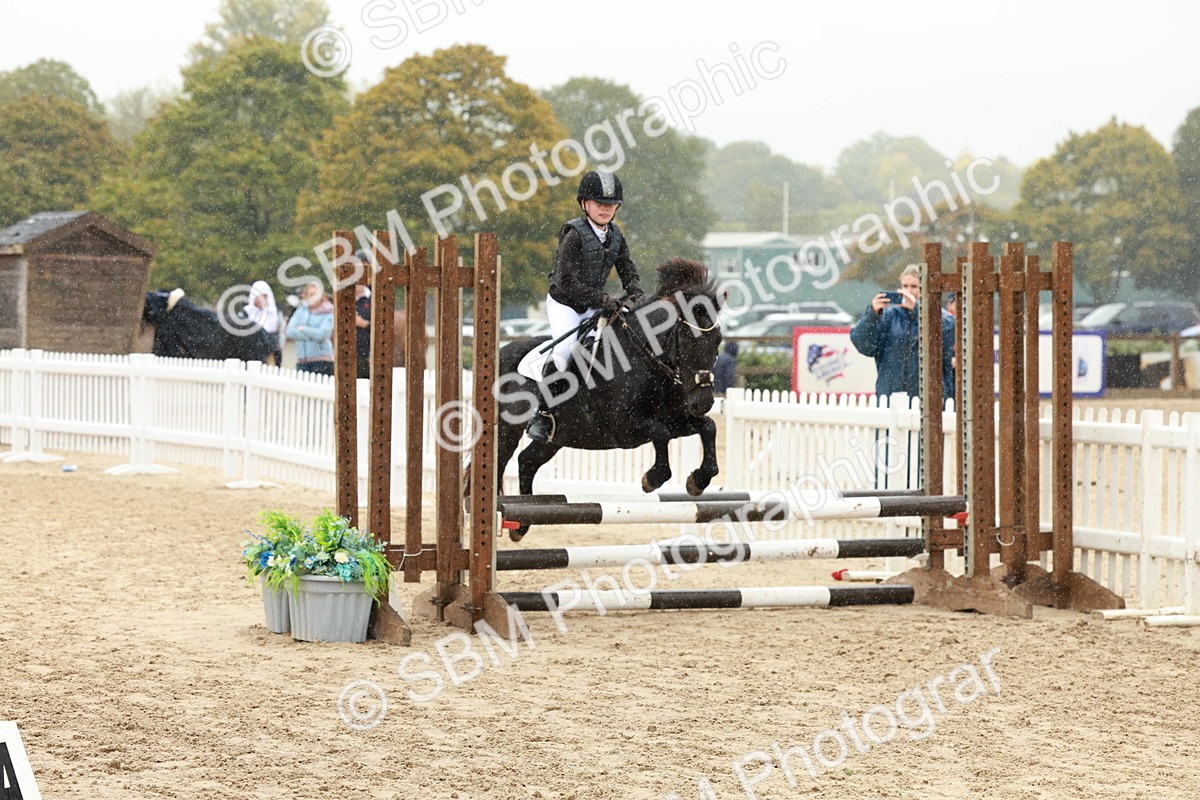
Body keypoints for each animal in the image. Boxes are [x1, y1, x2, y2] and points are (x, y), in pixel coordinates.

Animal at [494, 258, 724, 541]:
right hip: (507, 431)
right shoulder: (624, 429)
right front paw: (652, 479)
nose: (703, 402)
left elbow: (708, 427)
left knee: (527, 461)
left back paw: (521, 526)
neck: (644, 358)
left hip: (558, 437)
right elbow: (660, 433)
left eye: (718, 340)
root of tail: (501, 352)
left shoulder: (675, 421)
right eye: (687, 339)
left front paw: (698, 481)